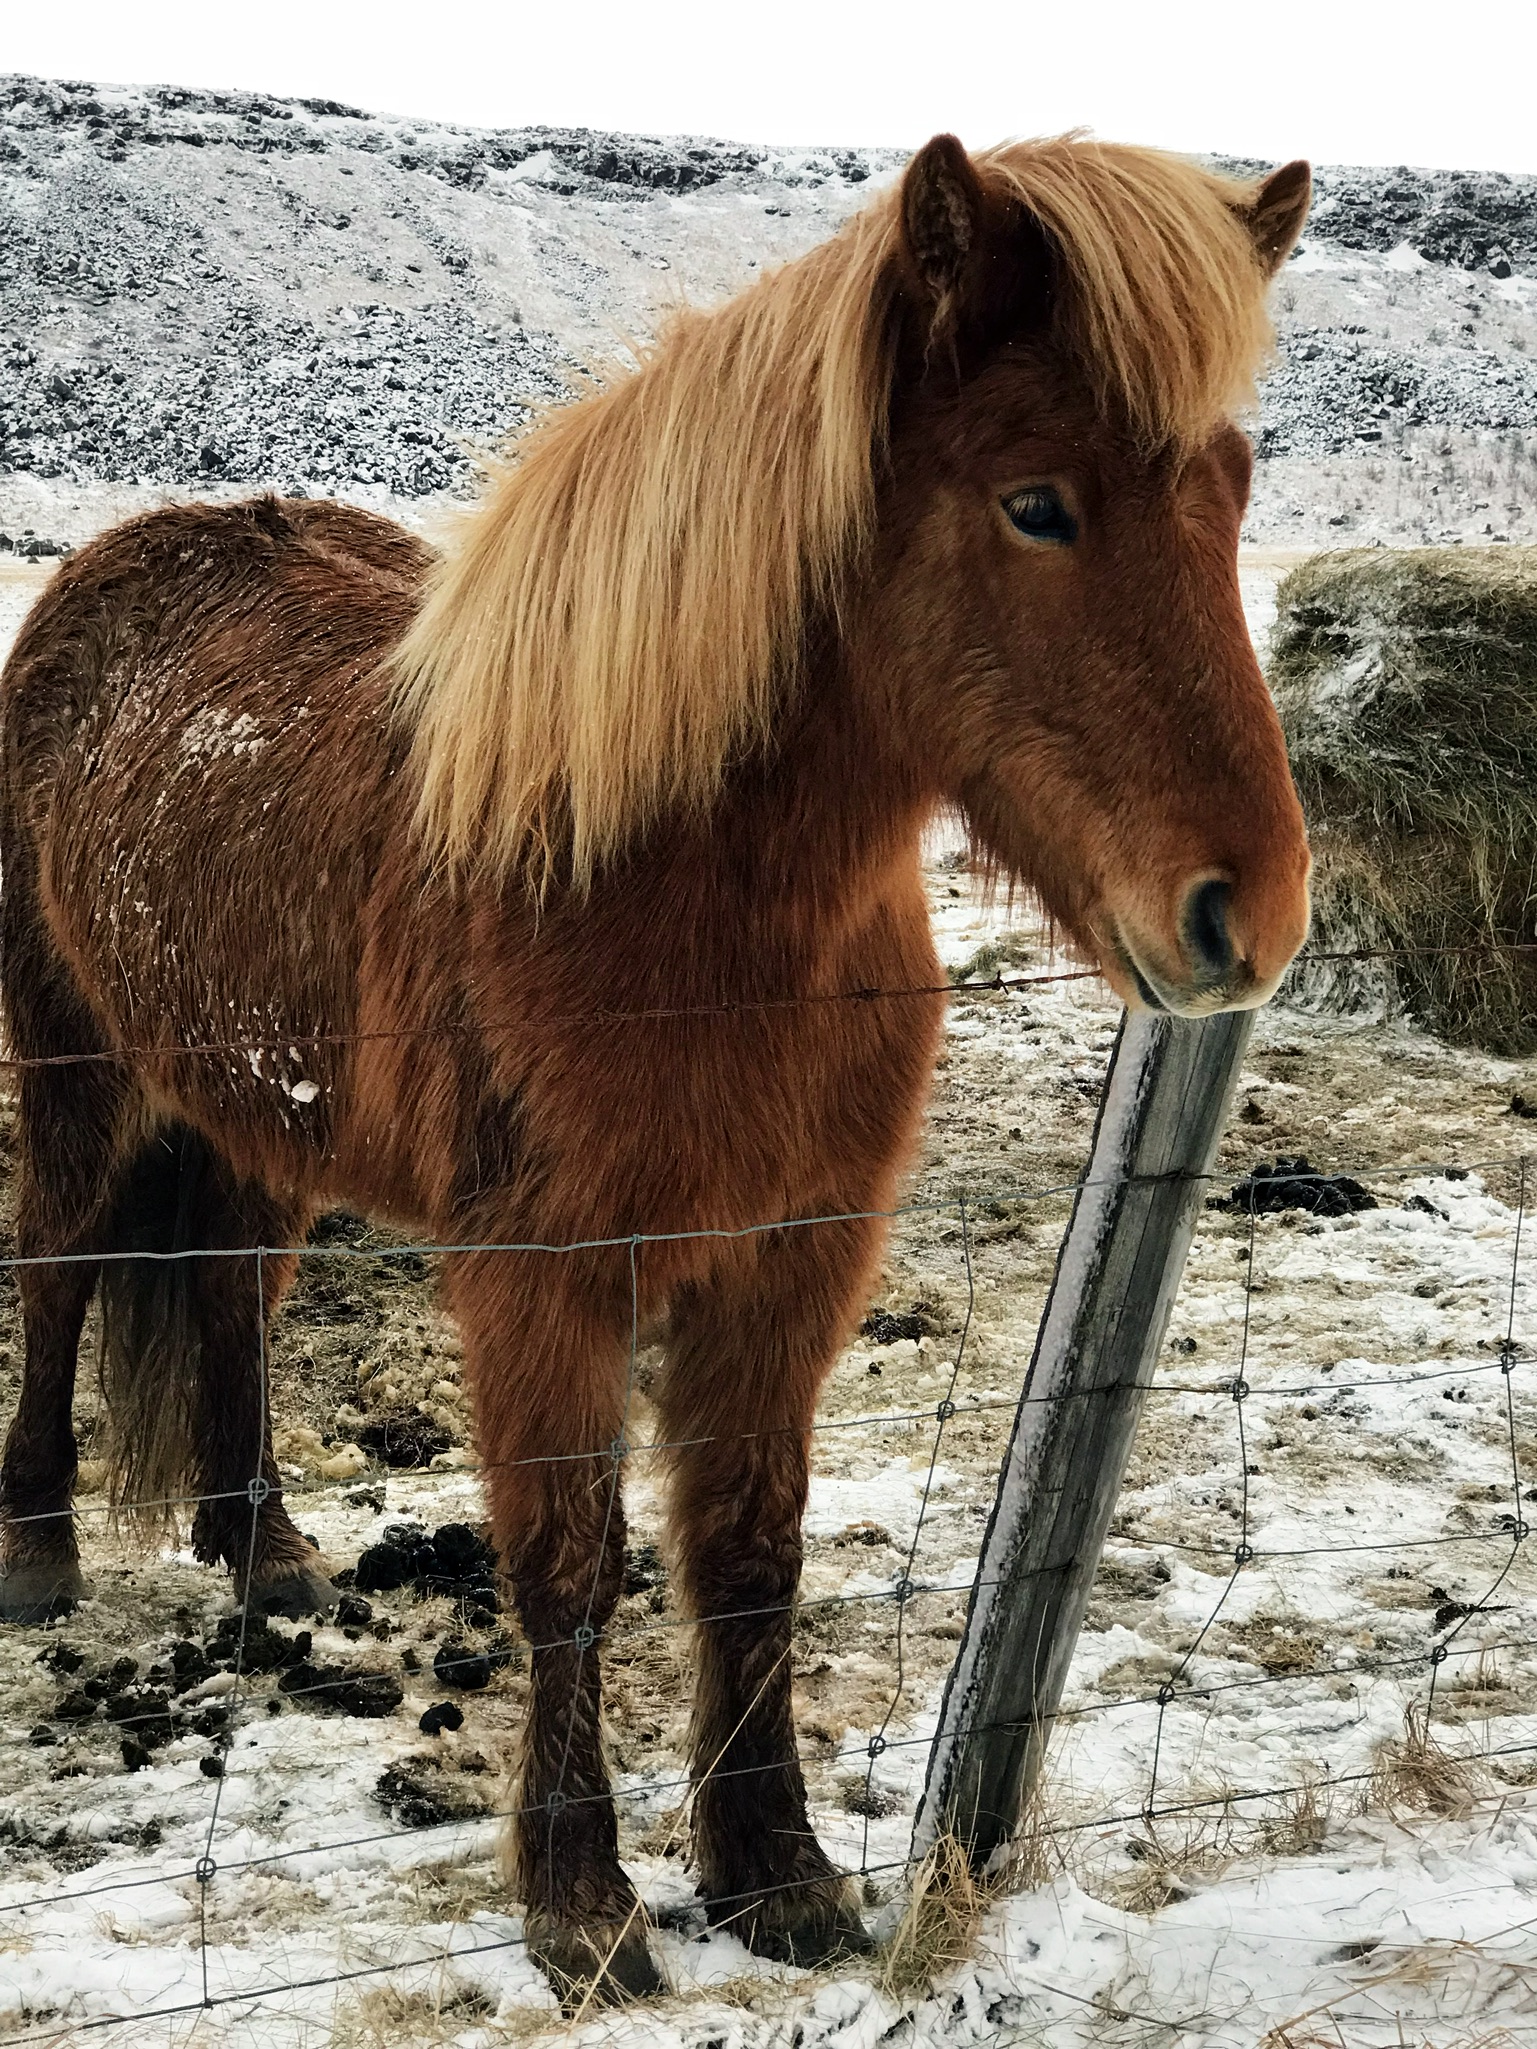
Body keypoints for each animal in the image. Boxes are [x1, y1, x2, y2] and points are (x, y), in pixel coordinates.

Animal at [0, 132, 1319, 1999]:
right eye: (1035, 503)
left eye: (1232, 489)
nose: (1248, 912)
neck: (666, 899)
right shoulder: (542, 1272)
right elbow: (567, 1559)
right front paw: (583, 1904)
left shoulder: (796, 1256)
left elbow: (748, 1542)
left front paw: (774, 1870)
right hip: (74, 1061)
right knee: (56, 1265)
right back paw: (39, 1547)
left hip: (258, 1111)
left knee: (232, 1290)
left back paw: (265, 1550)